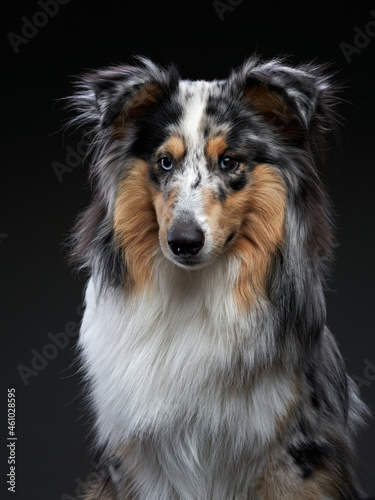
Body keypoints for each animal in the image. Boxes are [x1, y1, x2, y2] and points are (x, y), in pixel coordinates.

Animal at [68, 56, 374, 498]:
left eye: (229, 161)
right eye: (165, 162)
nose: (183, 242)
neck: (194, 294)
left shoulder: (295, 452)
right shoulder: (135, 457)